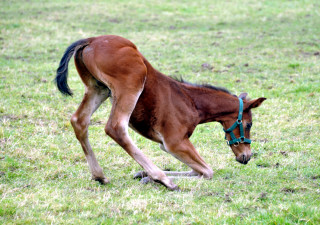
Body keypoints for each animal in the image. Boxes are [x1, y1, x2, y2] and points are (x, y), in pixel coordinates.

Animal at [56, 35, 266, 190]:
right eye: (248, 124)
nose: (246, 156)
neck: (192, 102)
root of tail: (91, 40)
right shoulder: (175, 142)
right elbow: (207, 171)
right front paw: (152, 176)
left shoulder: (166, 146)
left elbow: (196, 171)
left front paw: (142, 174)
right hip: (132, 83)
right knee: (115, 127)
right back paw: (163, 179)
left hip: (98, 89)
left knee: (79, 121)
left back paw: (100, 176)